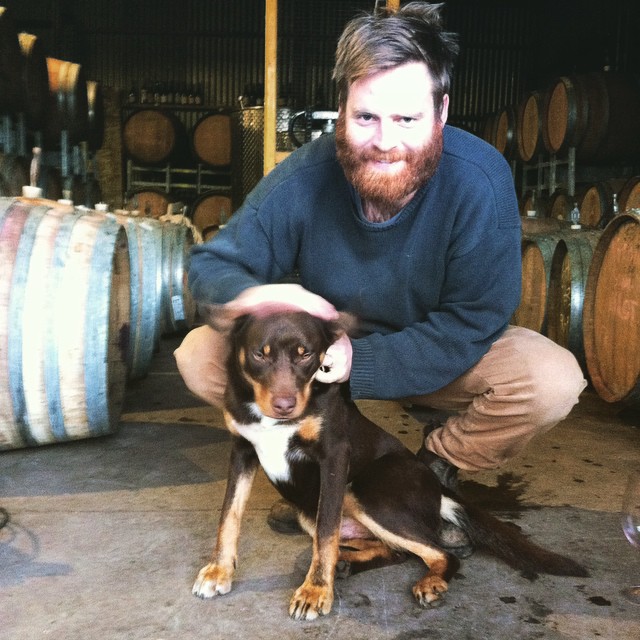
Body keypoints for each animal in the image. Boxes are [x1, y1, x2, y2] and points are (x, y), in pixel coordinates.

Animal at [191, 310, 592, 620]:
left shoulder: (334, 457)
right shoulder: (242, 450)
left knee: (438, 552)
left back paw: (427, 580)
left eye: (307, 356)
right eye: (260, 355)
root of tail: (434, 483)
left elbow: (326, 534)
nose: (285, 405)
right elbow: (229, 517)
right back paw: (346, 562)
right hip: (314, 508)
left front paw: (316, 591)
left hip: (366, 492)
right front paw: (219, 571)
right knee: (394, 549)